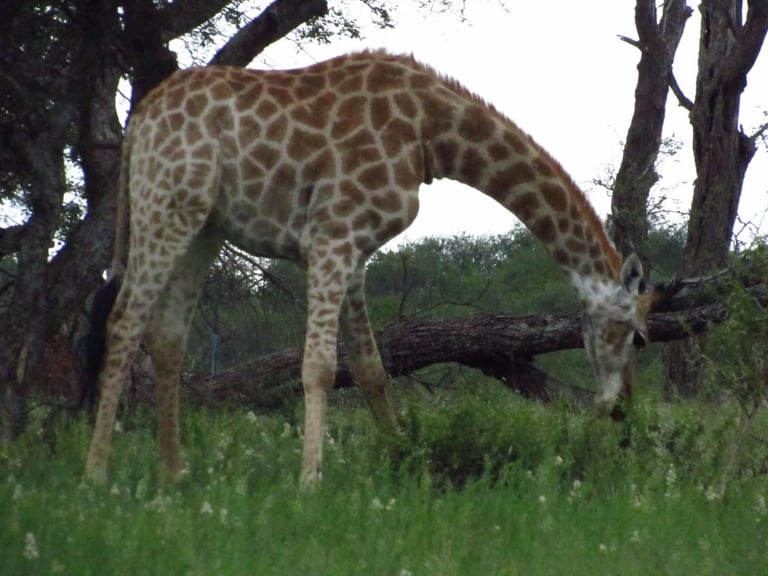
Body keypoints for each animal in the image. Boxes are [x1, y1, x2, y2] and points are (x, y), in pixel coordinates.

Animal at [83, 49, 671, 487]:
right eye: (640, 338)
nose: (623, 409)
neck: (430, 132)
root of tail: (140, 119)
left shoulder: (355, 250)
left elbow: (370, 368)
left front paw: (402, 460)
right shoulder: (333, 234)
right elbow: (320, 365)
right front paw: (310, 483)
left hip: (203, 225)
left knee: (167, 336)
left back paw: (173, 475)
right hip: (167, 205)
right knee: (124, 320)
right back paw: (95, 475)